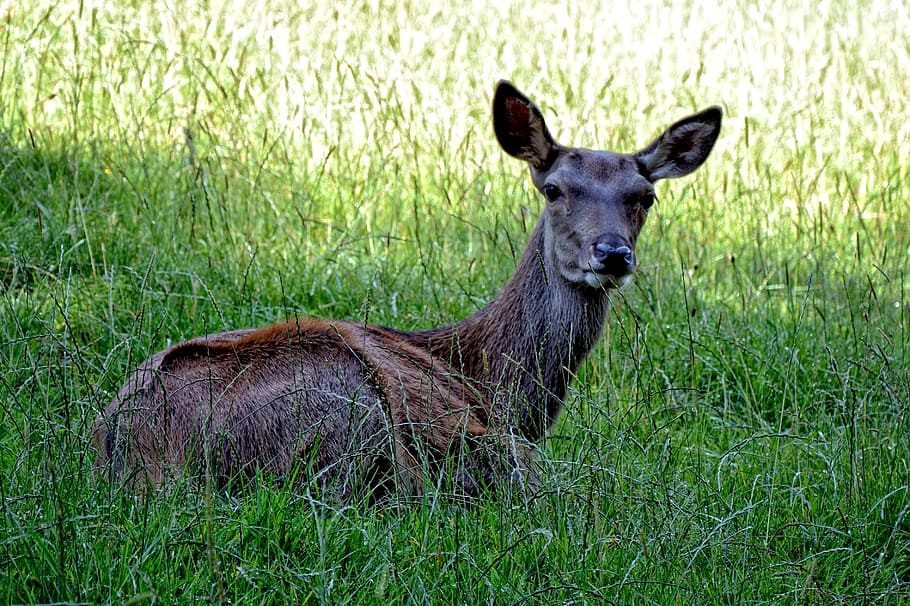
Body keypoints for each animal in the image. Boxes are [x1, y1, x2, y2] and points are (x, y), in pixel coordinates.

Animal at [92, 81, 722, 502]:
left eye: (645, 197)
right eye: (554, 189)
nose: (612, 254)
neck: (489, 378)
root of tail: (134, 457)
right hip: (348, 406)